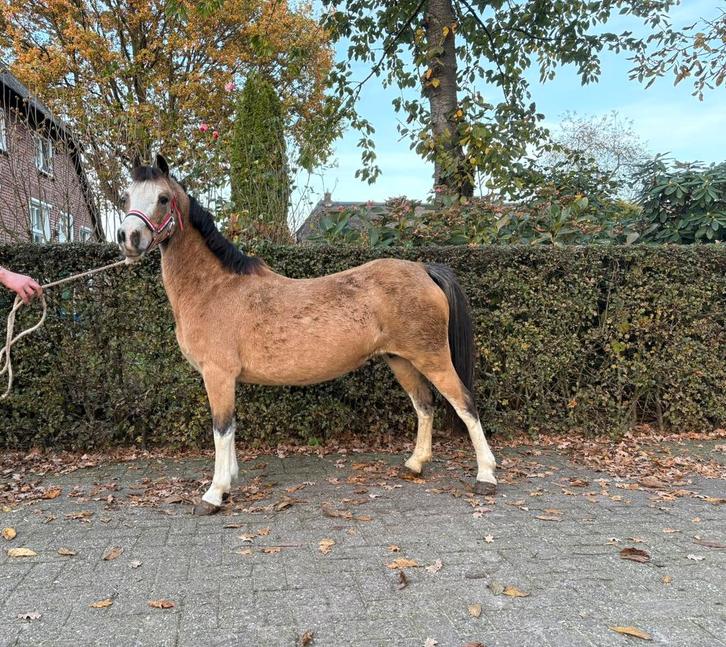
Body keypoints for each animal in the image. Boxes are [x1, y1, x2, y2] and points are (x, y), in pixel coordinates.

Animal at [116, 154, 497, 515]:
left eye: (163, 198)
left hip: (432, 357)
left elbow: (221, 429)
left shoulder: (218, 375)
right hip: (400, 359)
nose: (128, 238)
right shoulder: (225, 379)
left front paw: (214, 494)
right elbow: (231, 428)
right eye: (126, 197)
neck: (215, 288)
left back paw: (486, 476)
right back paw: (415, 464)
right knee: (424, 404)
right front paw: (231, 480)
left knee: (465, 404)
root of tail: (423, 268)